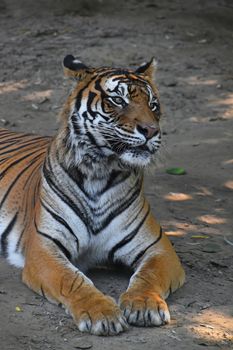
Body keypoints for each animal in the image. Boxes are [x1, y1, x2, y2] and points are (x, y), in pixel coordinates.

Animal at [0, 55, 186, 336]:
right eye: (118, 100)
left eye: (153, 104)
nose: (151, 130)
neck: (100, 172)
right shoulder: (44, 248)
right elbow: (73, 279)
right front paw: (102, 313)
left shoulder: (158, 247)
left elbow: (148, 276)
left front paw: (144, 304)